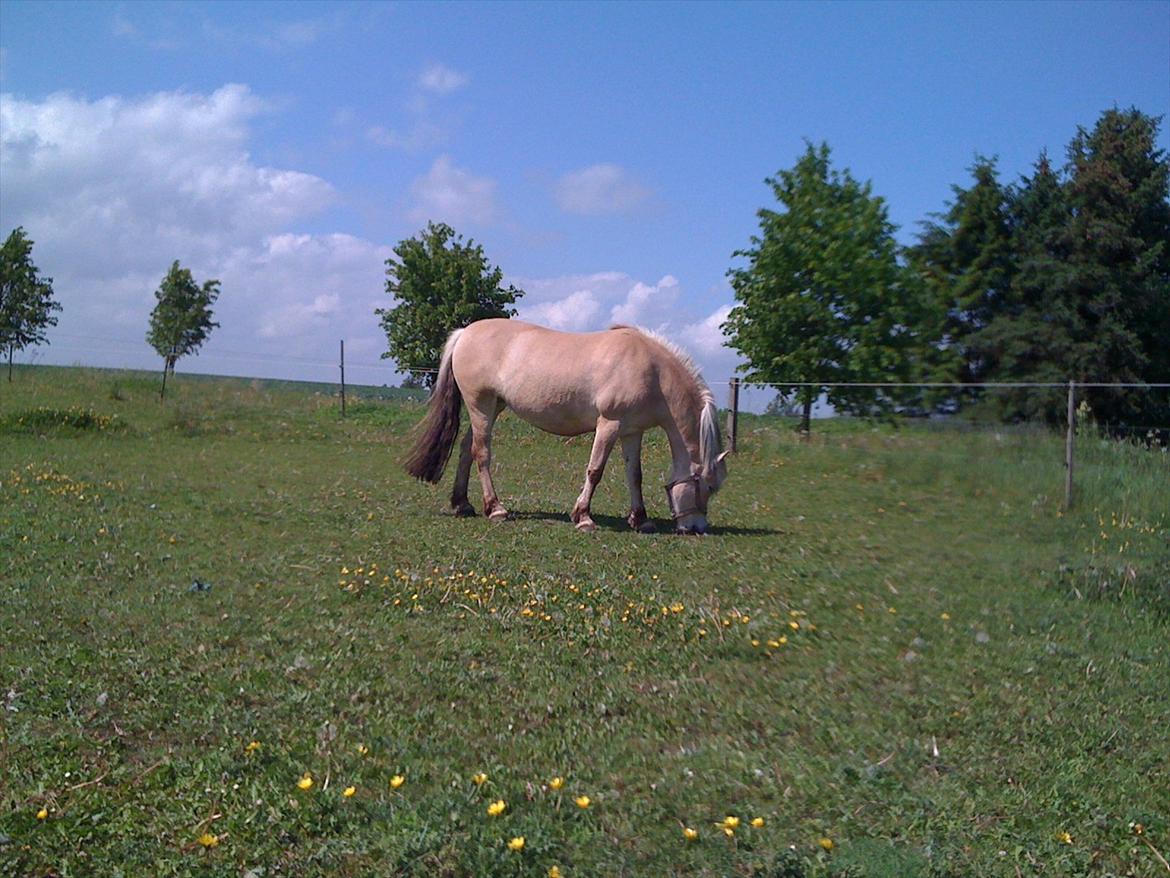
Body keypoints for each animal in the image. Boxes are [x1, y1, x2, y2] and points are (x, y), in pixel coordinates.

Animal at [407, 320, 725, 533]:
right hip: (480, 406)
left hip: (491, 408)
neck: (652, 371)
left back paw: (463, 504)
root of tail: (465, 332)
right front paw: (583, 517)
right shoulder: (609, 424)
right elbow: (595, 471)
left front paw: (641, 519)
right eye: (709, 486)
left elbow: (634, 475)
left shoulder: (632, 432)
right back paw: (496, 509)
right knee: (482, 453)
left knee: (466, 449)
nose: (697, 528)